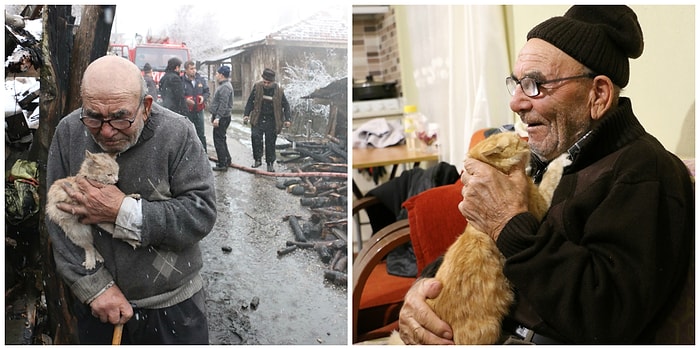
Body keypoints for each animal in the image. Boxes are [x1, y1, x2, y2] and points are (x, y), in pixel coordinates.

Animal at [392, 132, 572, 344]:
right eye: (518, 141)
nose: (528, 143)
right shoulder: (539, 204)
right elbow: (550, 179)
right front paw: (560, 160)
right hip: (489, 329)